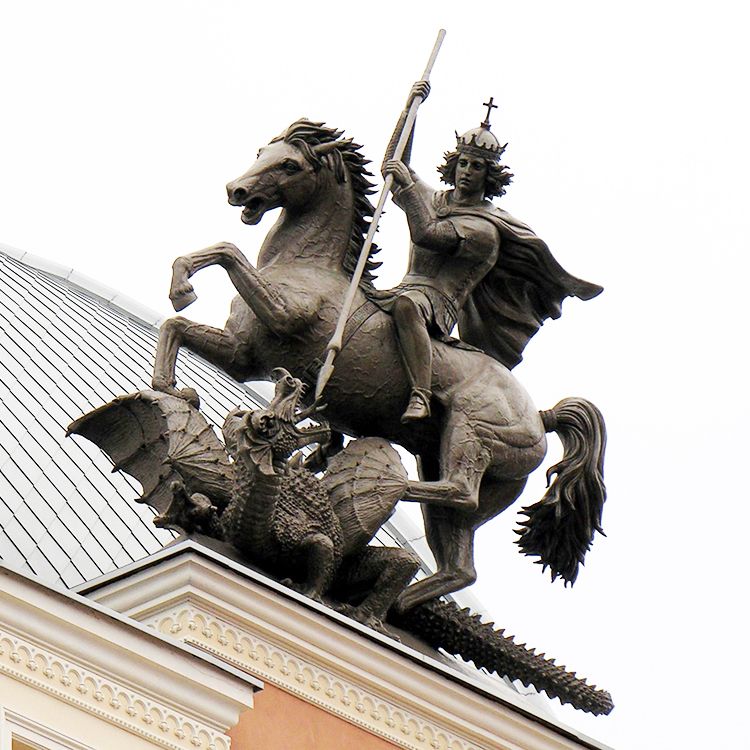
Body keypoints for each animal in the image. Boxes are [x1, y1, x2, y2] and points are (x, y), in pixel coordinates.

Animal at [151, 120, 604, 612]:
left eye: (290, 164)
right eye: (260, 153)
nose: (237, 190)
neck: (307, 266)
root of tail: (541, 417)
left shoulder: (284, 318)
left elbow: (228, 252)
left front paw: (182, 290)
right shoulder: (242, 354)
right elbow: (176, 324)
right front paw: (173, 387)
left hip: (469, 436)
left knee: (458, 492)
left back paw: (384, 486)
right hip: (463, 480)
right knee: (459, 563)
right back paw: (386, 604)